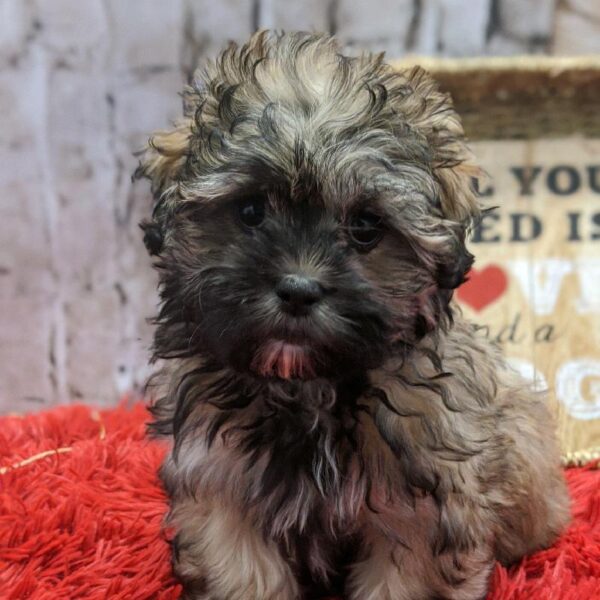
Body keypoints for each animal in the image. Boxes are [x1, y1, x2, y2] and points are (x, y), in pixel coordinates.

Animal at [137, 31, 572, 600]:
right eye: (251, 210)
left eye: (366, 227)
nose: (298, 290)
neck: (310, 390)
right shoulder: (220, 488)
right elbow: (242, 571)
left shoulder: (419, 511)